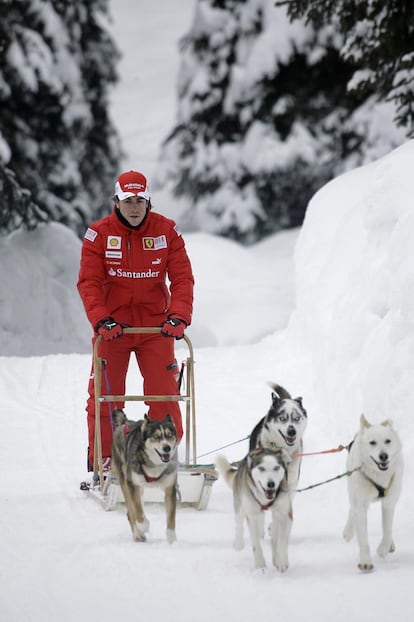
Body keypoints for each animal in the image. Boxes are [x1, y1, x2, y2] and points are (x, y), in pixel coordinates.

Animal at [111, 412, 178, 544]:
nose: (167, 448)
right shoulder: (133, 484)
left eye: (170, 435)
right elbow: (137, 510)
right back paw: (138, 534)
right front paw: (144, 526)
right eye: (156, 437)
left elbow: (171, 516)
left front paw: (172, 539)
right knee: (131, 512)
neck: (154, 465)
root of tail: (124, 423)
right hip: (125, 481)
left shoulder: (170, 488)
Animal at [217, 448, 292, 576]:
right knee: (239, 524)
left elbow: (281, 539)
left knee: (274, 533)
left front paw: (281, 561)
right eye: (261, 468)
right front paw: (260, 566)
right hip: (240, 505)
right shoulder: (252, 515)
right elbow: (256, 543)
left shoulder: (283, 513)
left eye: (276, 468)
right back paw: (238, 544)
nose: (271, 484)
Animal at [342, 416, 404, 572]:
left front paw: (383, 549)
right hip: (352, 490)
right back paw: (348, 531)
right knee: (351, 509)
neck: (378, 475)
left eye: (388, 441)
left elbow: (387, 530)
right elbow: (363, 538)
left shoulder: (389, 503)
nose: (384, 456)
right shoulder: (360, 506)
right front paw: (365, 561)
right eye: (372, 443)